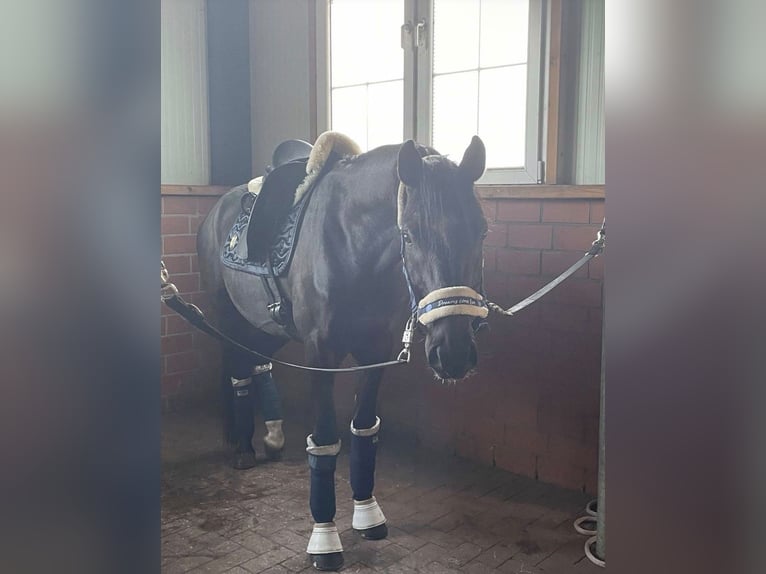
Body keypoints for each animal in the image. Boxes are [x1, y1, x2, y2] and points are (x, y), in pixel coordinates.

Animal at [196, 134, 488, 571]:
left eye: (481, 232)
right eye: (409, 235)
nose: (452, 353)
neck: (352, 244)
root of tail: (216, 211)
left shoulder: (376, 352)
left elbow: (364, 428)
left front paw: (367, 515)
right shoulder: (321, 355)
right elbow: (325, 438)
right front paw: (324, 539)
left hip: (264, 324)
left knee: (258, 363)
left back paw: (272, 438)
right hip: (227, 317)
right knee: (237, 371)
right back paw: (243, 447)